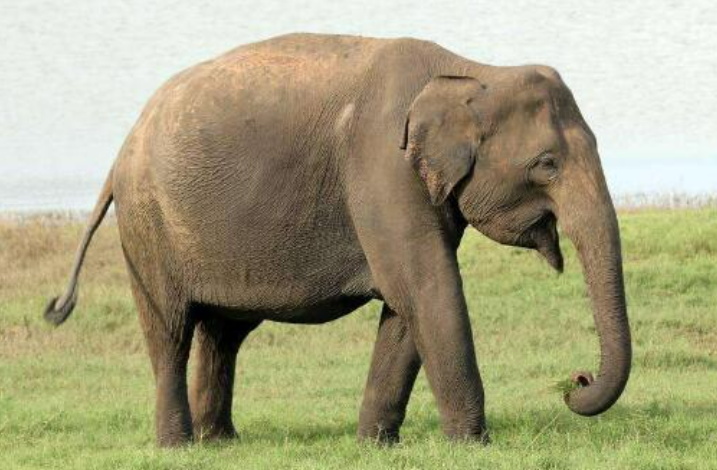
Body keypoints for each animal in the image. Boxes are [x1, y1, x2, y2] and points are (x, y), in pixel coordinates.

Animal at [44, 34, 628, 448]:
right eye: (546, 164)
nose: (576, 381)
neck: (474, 71)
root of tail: (124, 146)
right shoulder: (382, 167)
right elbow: (426, 287)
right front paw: (473, 446)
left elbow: (408, 305)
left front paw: (375, 446)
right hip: (148, 226)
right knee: (170, 331)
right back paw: (179, 447)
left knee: (223, 333)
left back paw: (222, 441)